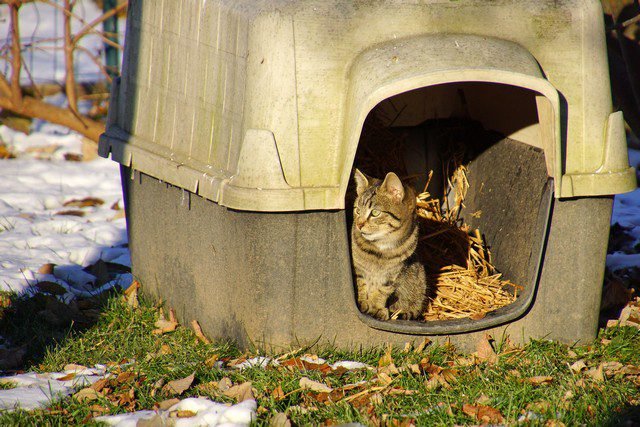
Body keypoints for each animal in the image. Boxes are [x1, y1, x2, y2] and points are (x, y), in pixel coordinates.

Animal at [352, 170, 428, 320]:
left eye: (375, 212)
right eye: (357, 210)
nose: (359, 224)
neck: (381, 248)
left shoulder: (393, 274)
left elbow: (382, 290)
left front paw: (376, 307)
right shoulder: (358, 268)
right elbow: (361, 284)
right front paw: (362, 302)